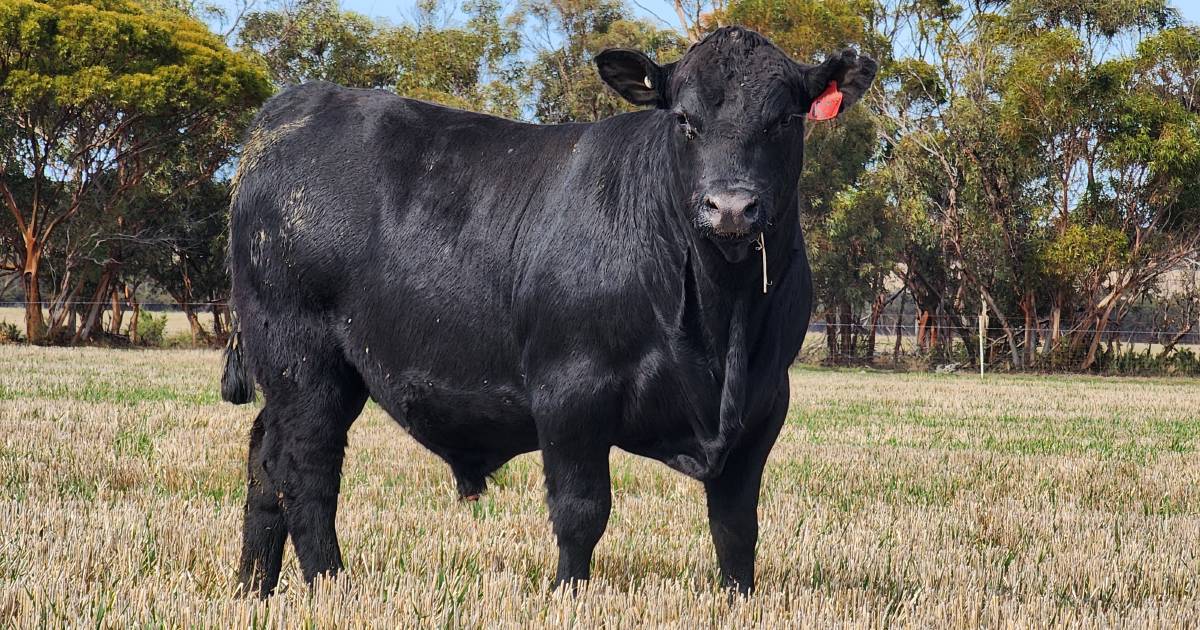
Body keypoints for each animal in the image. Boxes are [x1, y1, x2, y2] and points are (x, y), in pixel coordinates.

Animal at [225, 25, 878, 595]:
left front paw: (738, 598)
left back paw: (255, 588)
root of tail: (291, 109)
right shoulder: (570, 392)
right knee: (306, 474)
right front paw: (569, 593)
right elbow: (581, 511)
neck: (723, 321)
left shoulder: (764, 404)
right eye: (684, 119)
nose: (731, 207)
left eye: (782, 119)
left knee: (265, 461)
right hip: (304, 362)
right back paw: (328, 585)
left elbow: (737, 525)